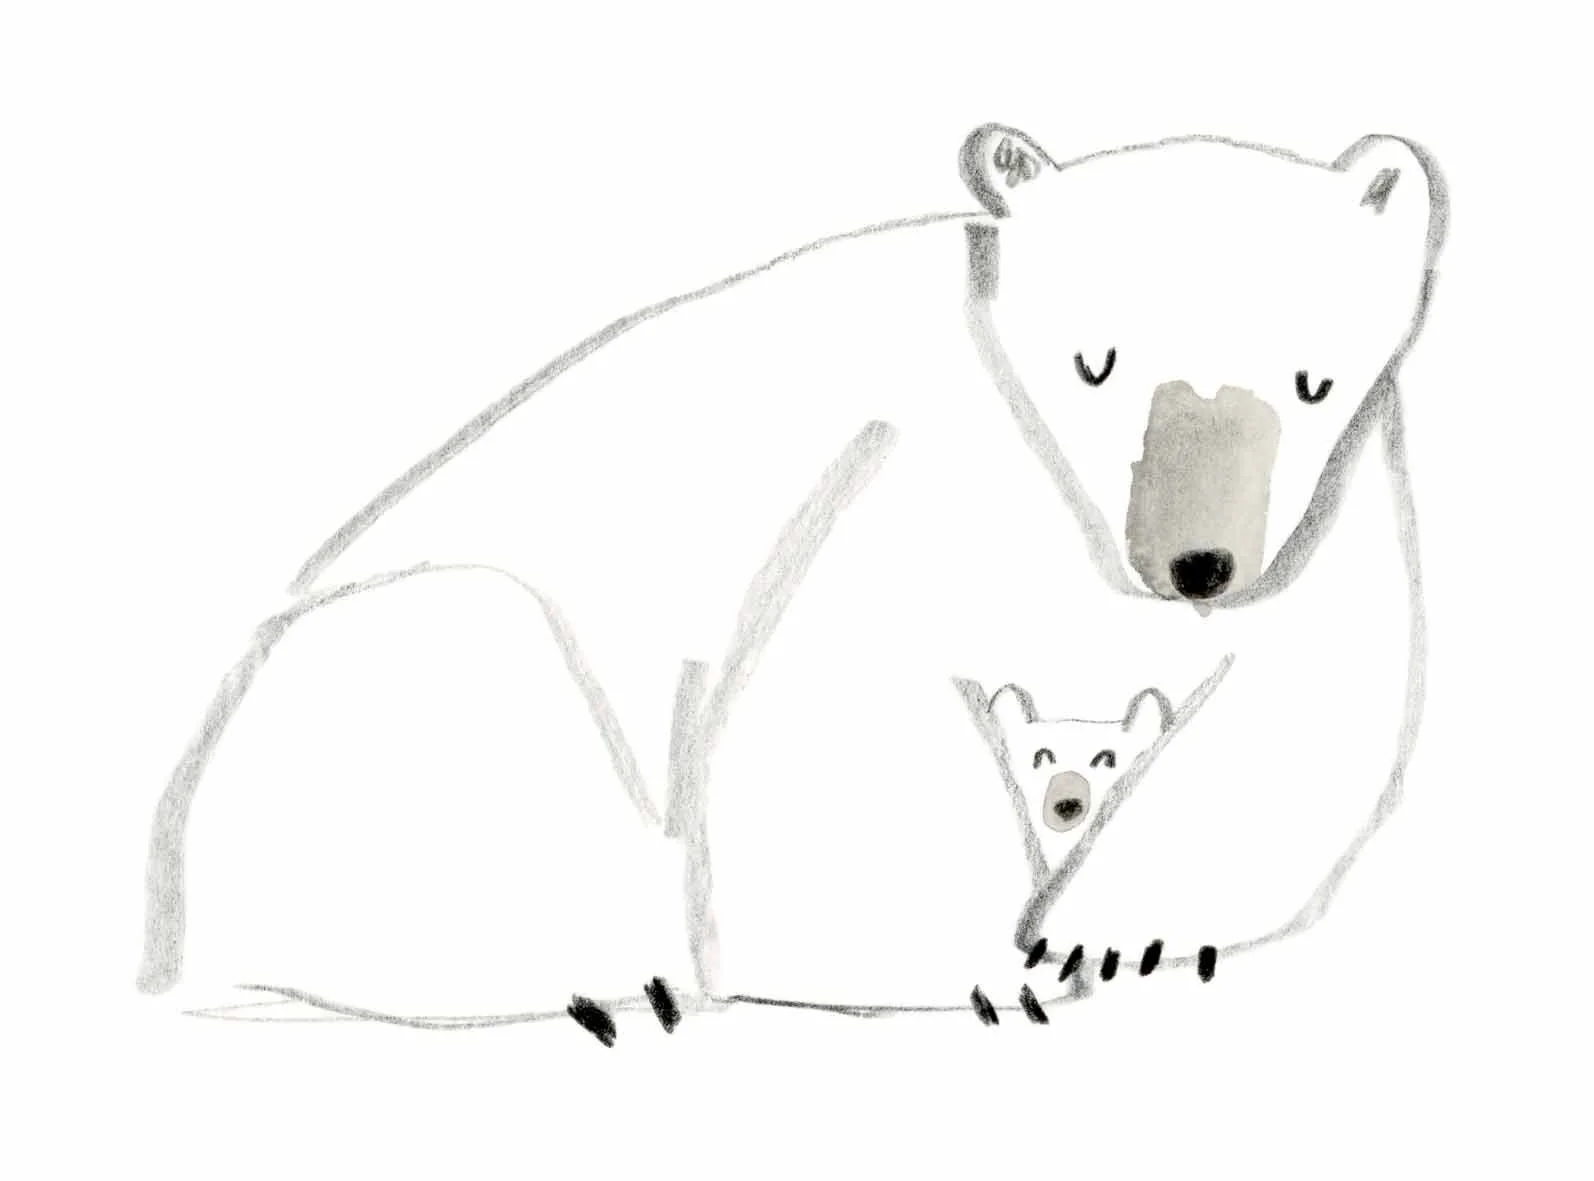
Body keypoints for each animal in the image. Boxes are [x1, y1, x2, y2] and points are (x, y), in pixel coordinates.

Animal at [138, 122, 1446, 1028]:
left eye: (1310, 380)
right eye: (1096, 362)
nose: (1194, 561)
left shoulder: (1333, 502)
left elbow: (1310, 699)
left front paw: (1105, 936)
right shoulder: (914, 460)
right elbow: (836, 697)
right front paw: (990, 969)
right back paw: (610, 972)